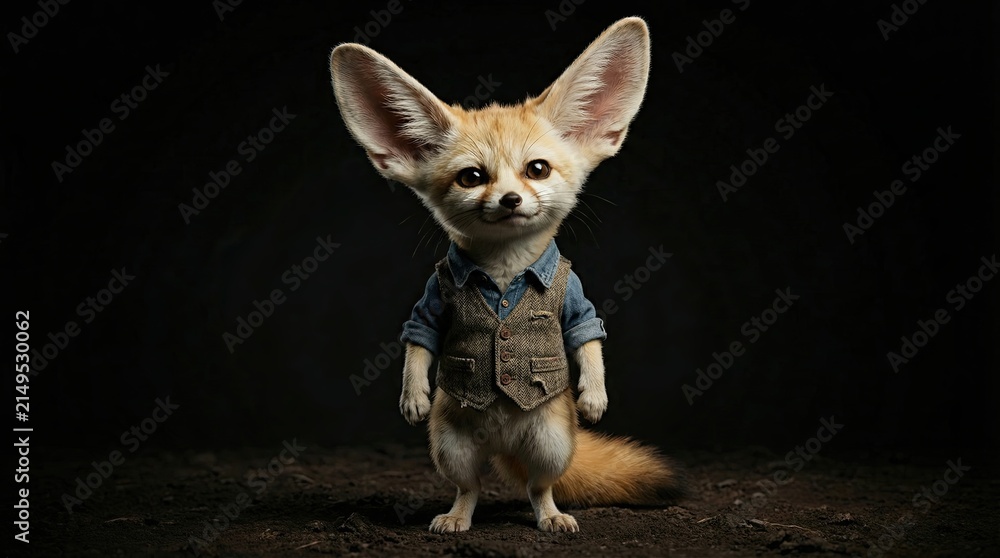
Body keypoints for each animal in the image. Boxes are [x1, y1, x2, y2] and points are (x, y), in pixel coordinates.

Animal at [329, 17, 683, 533]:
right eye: (472, 177)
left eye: (536, 169)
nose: (511, 200)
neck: (503, 274)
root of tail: (500, 443)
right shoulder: (431, 301)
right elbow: (420, 337)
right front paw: (413, 397)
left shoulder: (576, 301)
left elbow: (586, 334)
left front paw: (594, 397)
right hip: (452, 448)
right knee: (471, 487)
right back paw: (457, 517)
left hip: (551, 445)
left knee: (538, 487)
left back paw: (550, 516)